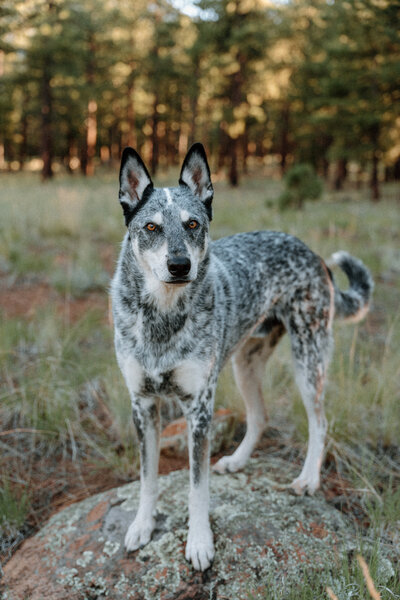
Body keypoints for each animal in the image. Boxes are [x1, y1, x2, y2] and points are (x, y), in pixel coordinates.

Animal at [111, 143, 374, 568]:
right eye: (151, 228)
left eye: (193, 225)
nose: (180, 266)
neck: (162, 317)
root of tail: (311, 251)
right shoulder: (143, 405)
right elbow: (148, 478)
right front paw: (142, 526)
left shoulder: (199, 409)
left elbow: (197, 487)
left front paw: (199, 542)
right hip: (243, 365)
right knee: (260, 416)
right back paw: (237, 460)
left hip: (308, 360)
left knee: (320, 422)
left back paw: (308, 480)